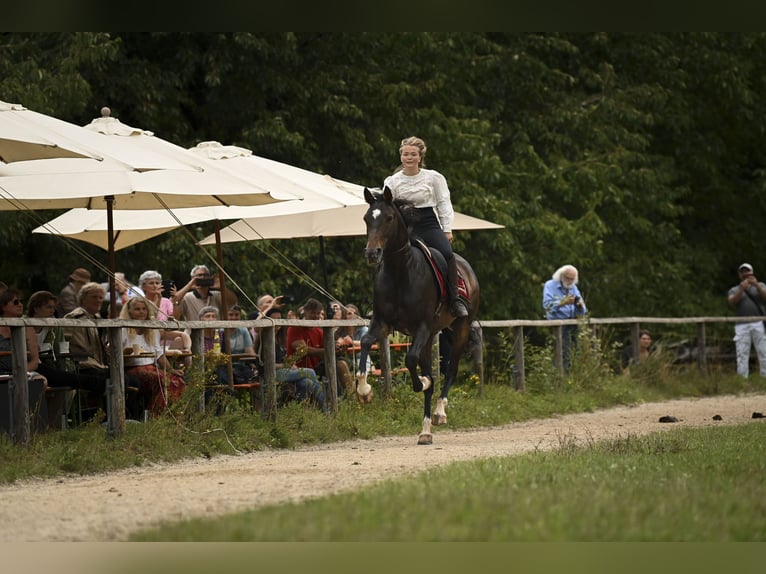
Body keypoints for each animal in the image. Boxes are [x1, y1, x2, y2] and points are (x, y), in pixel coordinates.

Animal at [354, 187, 480, 448]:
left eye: (389, 218)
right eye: (367, 218)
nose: (372, 253)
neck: (401, 273)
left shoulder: (422, 327)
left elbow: (412, 361)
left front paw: (422, 382)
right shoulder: (382, 324)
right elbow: (365, 343)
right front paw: (364, 391)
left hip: (460, 328)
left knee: (451, 369)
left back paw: (440, 413)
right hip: (432, 335)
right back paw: (425, 431)